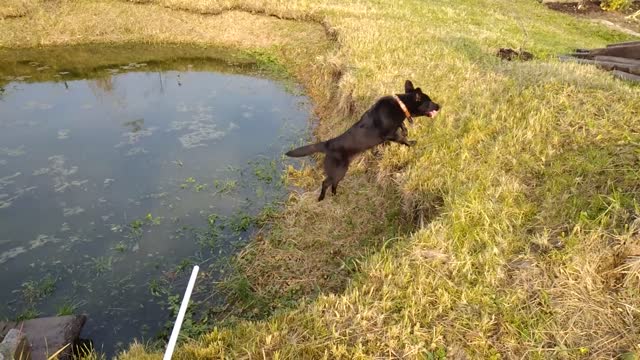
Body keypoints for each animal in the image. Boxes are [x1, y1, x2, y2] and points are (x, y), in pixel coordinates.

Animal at [284, 80, 440, 201]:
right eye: (429, 101)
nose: (440, 106)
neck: (400, 106)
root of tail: (328, 144)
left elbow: (402, 126)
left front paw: (406, 129)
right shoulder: (390, 134)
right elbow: (402, 139)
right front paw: (412, 143)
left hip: (340, 172)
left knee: (332, 183)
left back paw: (335, 195)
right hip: (339, 170)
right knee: (325, 183)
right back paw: (322, 198)